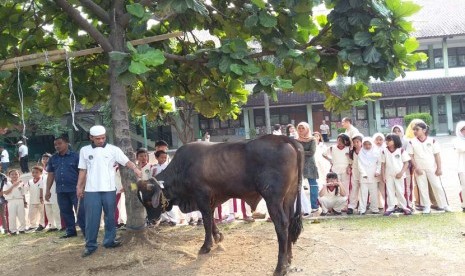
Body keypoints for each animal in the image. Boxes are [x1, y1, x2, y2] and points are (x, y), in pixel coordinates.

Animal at [137, 135, 304, 274]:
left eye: (149, 201)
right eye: (143, 202)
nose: (151, 221)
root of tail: (284, 139)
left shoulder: (201, 196)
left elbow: (206, 221)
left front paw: (206, 246)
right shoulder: (213, 198)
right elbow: (211, 218)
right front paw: (218, 236)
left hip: (273, 198)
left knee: (282, 225)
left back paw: (280, 267)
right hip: (289, 196)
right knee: (289, 222)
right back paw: (289, 259)